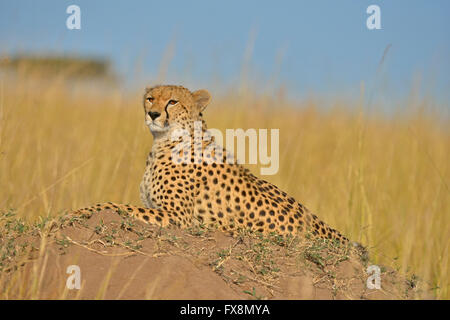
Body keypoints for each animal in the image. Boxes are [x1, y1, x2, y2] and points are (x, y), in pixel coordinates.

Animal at [74, 85, 354, 245]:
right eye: (150, 98)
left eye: (172, 101)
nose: (153, 114)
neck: (165, 141)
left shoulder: (178, 216)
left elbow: (116, 205)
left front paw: (79, 211)